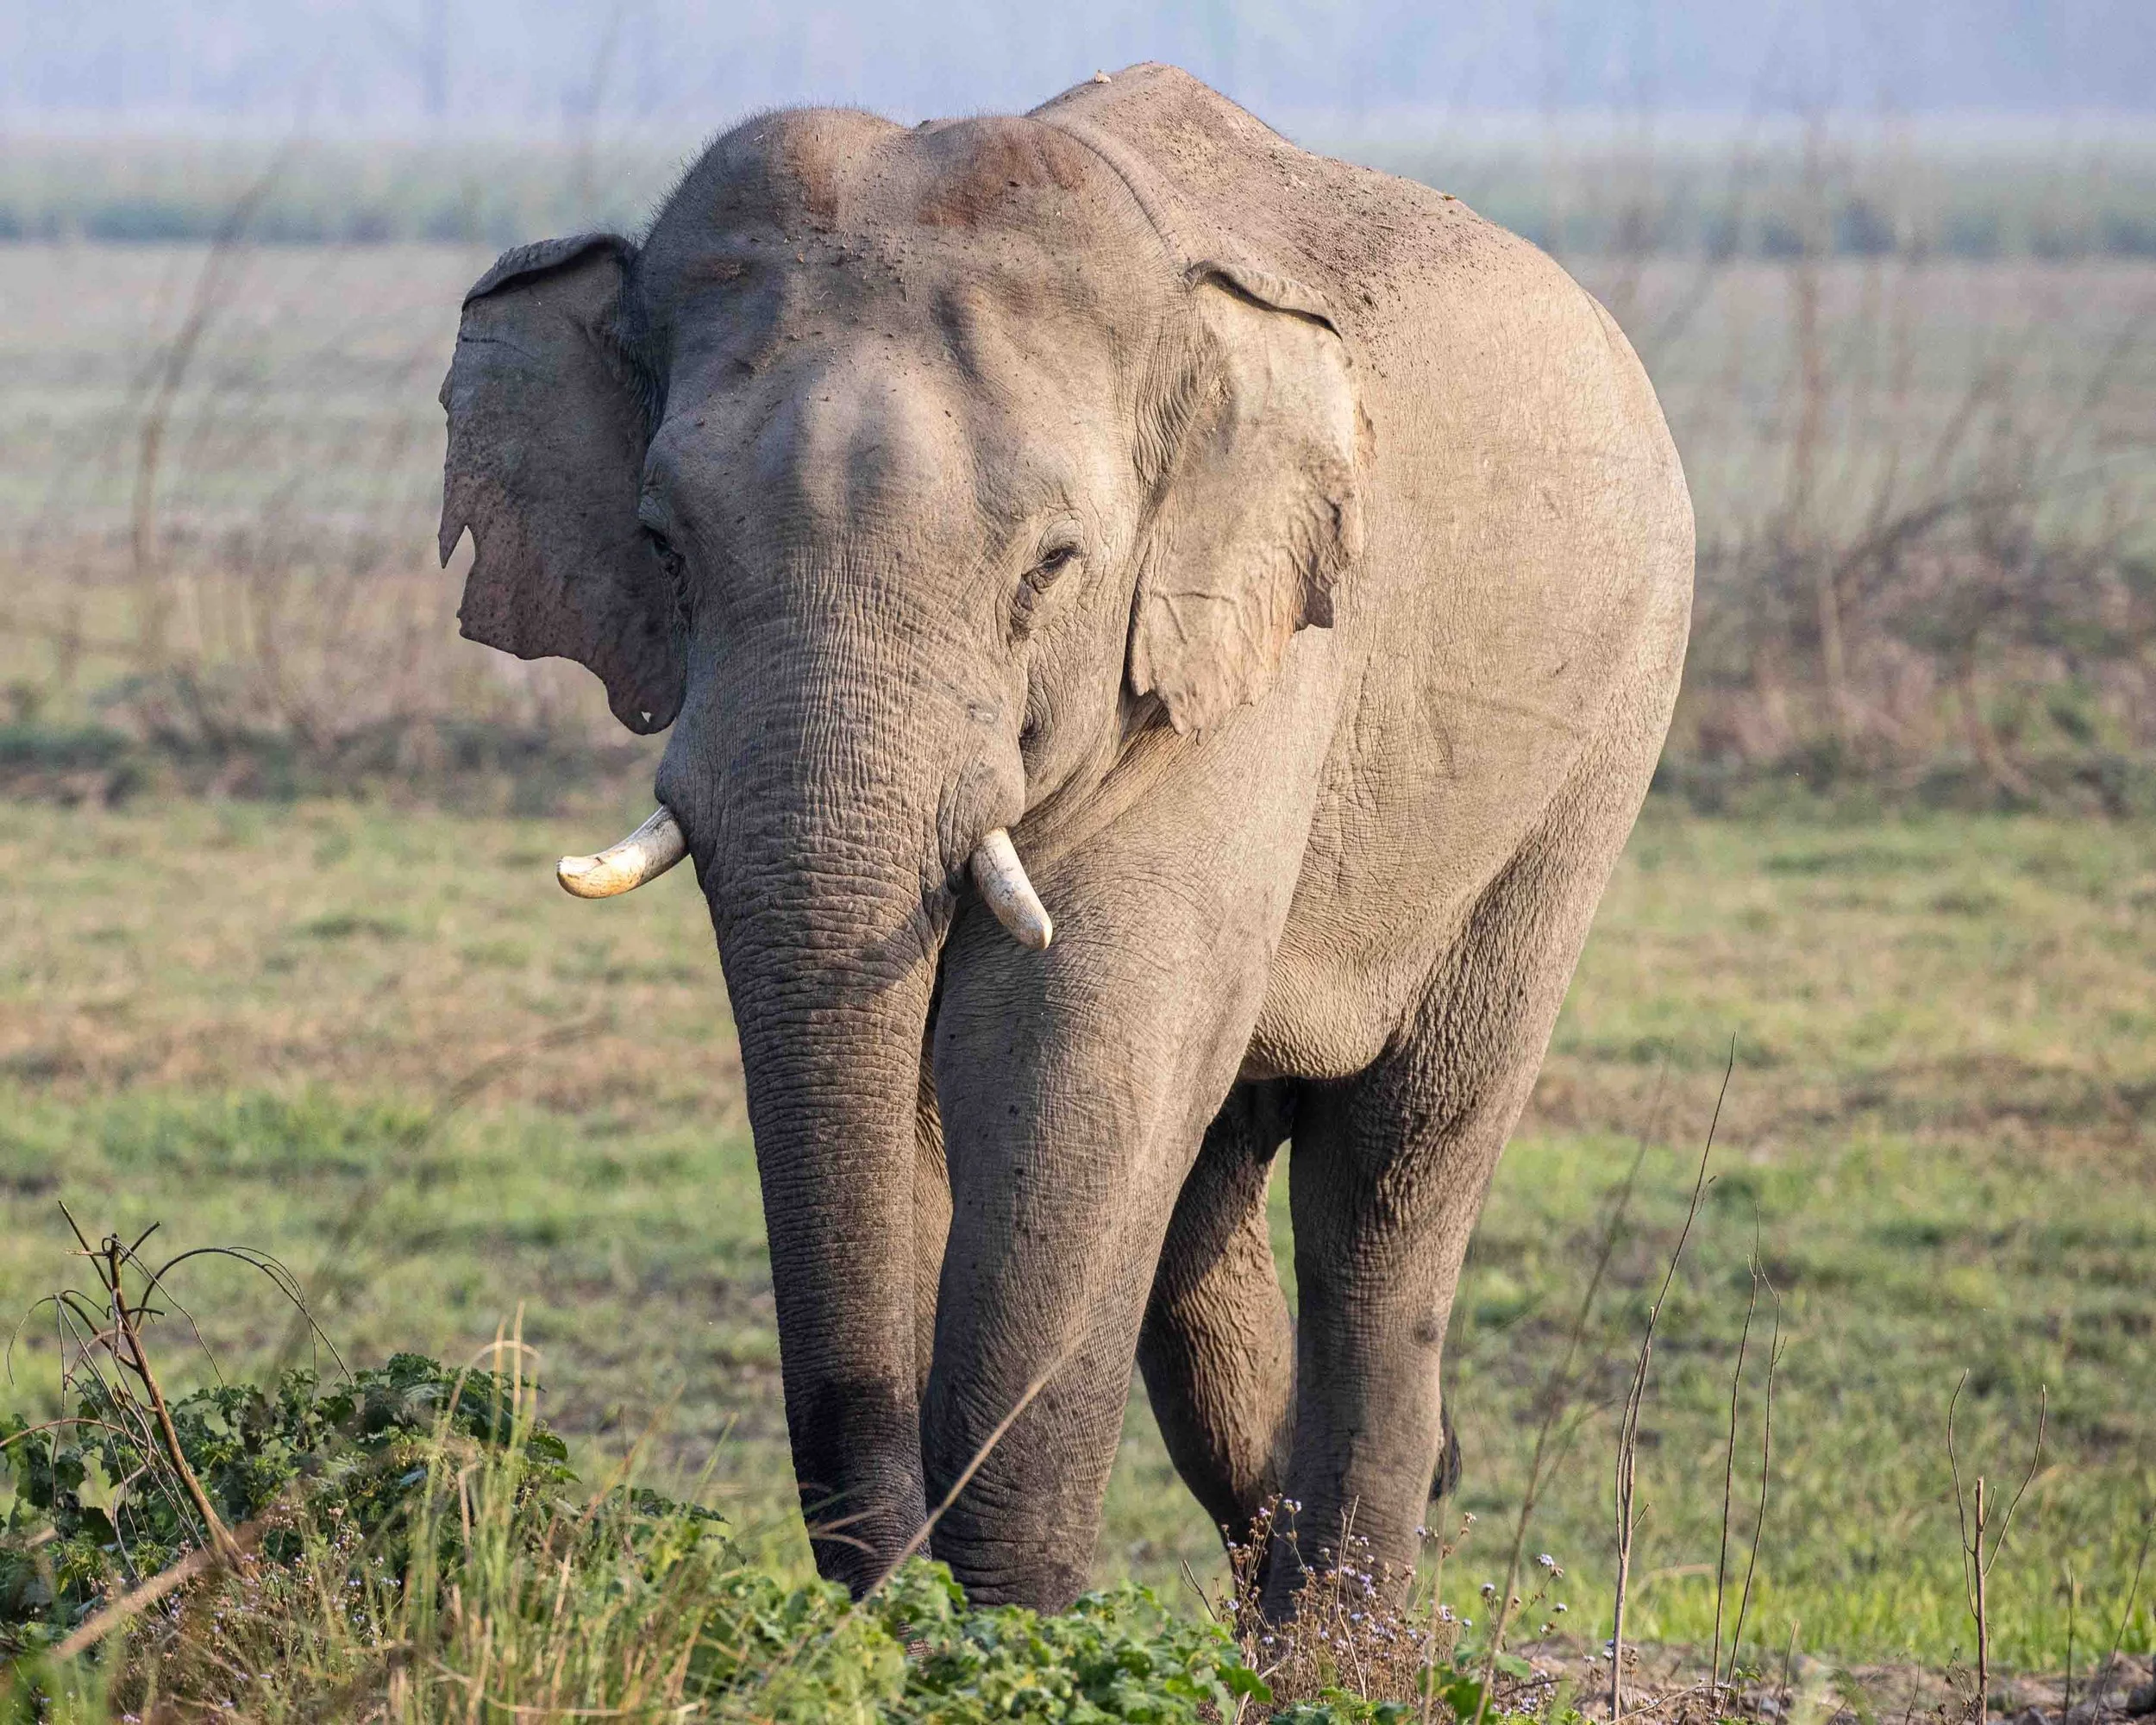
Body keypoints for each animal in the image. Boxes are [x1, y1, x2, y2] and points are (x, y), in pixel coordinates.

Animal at [437, 62, 1692, 1616]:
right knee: (1207, 1219)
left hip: (1595, 748)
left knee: (1395, 1179)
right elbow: (945, 1095)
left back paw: (1346, 1638)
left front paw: (1008, 1625)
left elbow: (1065, 1059)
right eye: (665, 546)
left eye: (1051, 567)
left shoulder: (1244, 670)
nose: (890, 1595)